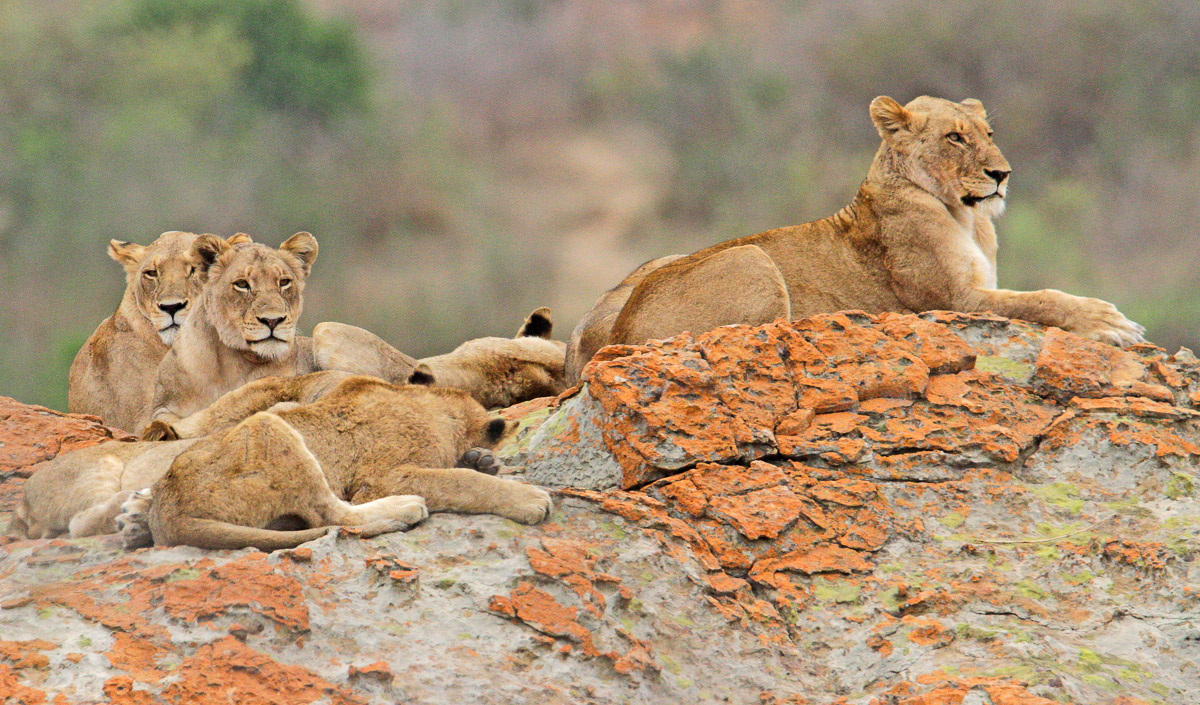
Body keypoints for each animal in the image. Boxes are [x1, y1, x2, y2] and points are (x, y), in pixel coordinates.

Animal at [121, 373, 552, 551]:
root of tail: (168, 513)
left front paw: (482, 461)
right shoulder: (383, 478)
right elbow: (459, 482)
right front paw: (529, 499)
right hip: (270, 428)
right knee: (333, 515)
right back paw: (404, 510)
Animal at [565, 95, 1145, 384]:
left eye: (988, 135)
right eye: (955, 137)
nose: (1002, 174)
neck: (966, 216)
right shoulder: (955, 301)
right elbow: (1043, 298)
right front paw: (1109, 321)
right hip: (749, 256)